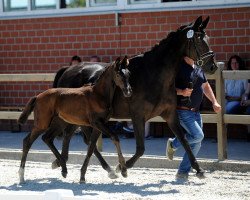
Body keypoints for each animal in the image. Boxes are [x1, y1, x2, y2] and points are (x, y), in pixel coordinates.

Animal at [17, 55, 132, 183]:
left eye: (128, 74)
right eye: (118, 74)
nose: (128, 92)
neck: (98, 95)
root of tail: (37, 97)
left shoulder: (98, 125)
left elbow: (91, 147)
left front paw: (83, 176)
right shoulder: (96, 122)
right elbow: (114, 137)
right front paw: (123, 170)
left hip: (58, 123)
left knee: (47, 138)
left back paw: (63, 168)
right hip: (42, 123)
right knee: (27, 141)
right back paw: (22, 175)